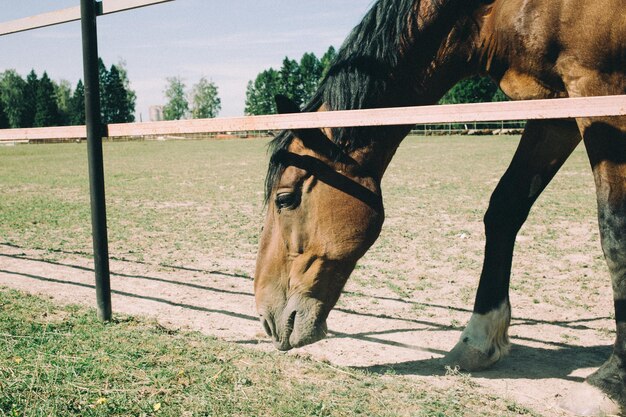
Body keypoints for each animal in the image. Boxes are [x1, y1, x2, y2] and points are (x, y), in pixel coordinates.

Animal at [251, 0, 620, 412]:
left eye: (285, 198)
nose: (266, 318)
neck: (488, 14)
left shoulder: (598, 88)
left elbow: (614, 228)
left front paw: (609, 382)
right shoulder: (555, 108)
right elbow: (504, 209)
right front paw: (477, 340)